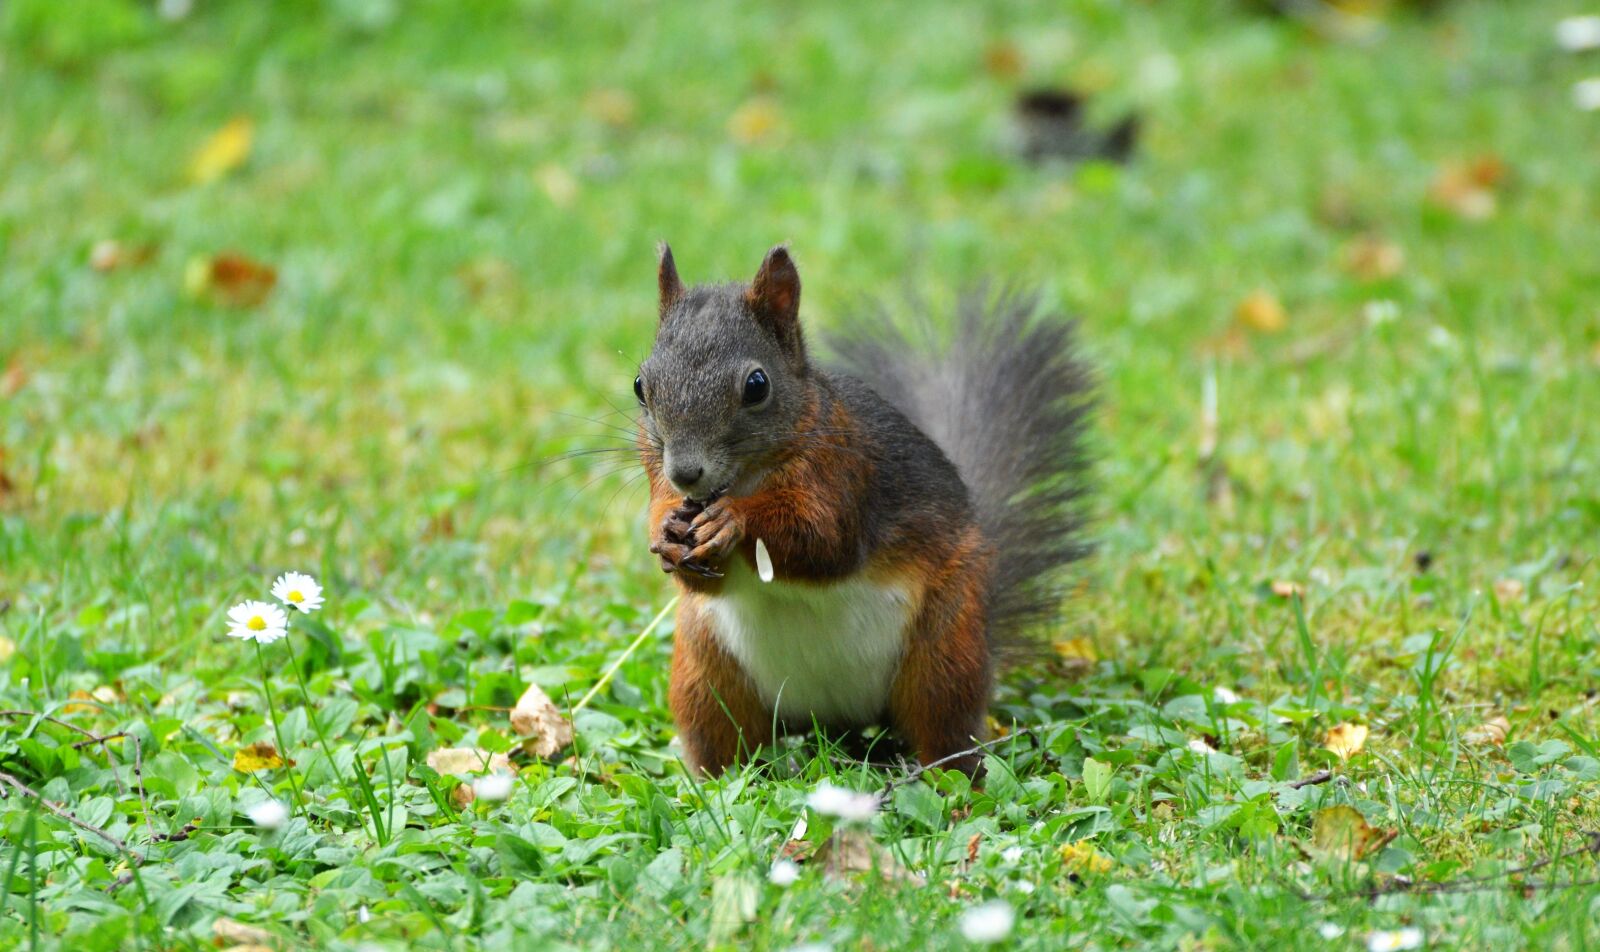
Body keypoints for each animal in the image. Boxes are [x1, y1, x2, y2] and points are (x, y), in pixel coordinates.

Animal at [636, 244, 1091, 777]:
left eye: (756, 384)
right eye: (641, 385)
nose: (685, 473)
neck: (744, 480)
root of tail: (835, 719)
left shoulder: (847, 475)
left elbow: (824, 543)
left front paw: (737, 520)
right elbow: (704, 577)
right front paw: (667, 535)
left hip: (944, 650)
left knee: (945, 730)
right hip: (705, 675)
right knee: (725, 741)